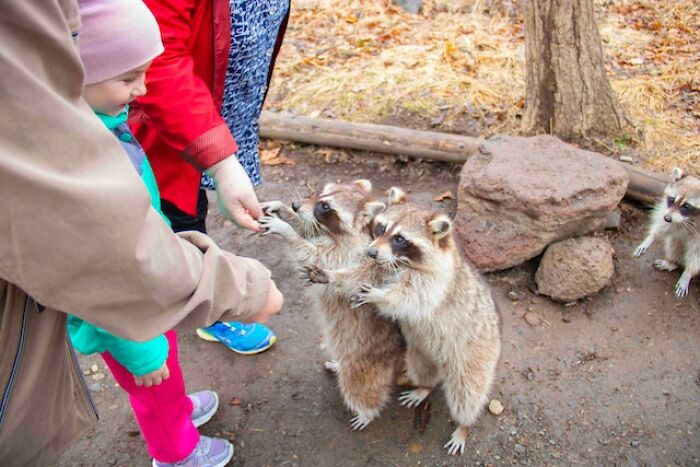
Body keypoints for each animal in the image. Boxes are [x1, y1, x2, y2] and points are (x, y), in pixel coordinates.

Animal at [260, 180, 408, 432]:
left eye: (326, 206)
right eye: (320, 193)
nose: (295, 204)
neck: (340, 234)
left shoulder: (349, 255)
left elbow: (313, 256)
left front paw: (287, 230)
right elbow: (309, 230)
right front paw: (285, 212)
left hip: (365, 360)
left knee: (359, 385)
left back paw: (367, 411)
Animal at [304, 202, 500, 458]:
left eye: (400, 238)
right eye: (381, 228)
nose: (371, 252)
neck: (404, 262)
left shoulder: (436, 282)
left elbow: (411, 297)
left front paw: (380, 296)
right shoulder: (383, 267)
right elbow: (360, 274)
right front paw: (332, 275)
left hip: (475, 354)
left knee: (467, 393)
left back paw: (464, 425)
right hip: (420, 351)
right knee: (423, 369)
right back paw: (425, 387)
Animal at [636, 168, 700, 298]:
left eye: (687, 206)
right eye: (672, 199)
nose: (667, 218)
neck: (689, 219)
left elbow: (697, 256)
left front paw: (688, 273)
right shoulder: (671, 216)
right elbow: (665, 227)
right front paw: (650, 237)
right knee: (674, 244)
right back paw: (672, 262)